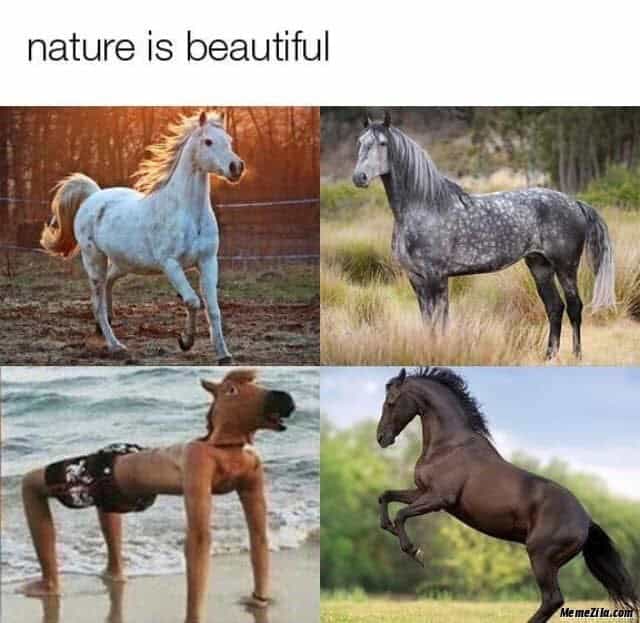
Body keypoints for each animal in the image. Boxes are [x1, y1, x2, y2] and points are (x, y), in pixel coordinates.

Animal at [40, 110, 245, 363]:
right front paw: (185, 341)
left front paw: (224, 354)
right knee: (97, 301)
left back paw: (104, 325)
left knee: (108, 284)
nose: (236, 167)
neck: (187, 212)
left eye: (229, 140)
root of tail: (93, 196)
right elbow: (192, 301)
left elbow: (213, 309)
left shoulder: (207, 261)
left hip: (124, 263)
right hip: (95, 260)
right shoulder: (170, 264)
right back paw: (115, 345)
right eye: (208, 141)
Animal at [352, 112, 616, 359]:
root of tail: (575, 203)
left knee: (574, 306)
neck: (425, 207)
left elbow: (439, 322)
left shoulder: (435, 277)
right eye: (361, 142)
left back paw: (576, 355)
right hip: (539, 265)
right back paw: (549, 356)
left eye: (383, 143)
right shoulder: (416, 278)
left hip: (565, 266)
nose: (359, 178)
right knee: (555, 307)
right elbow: (429, 323)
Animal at [376, 367, 639, 623]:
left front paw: (415, 552)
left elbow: (401, 514)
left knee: (552, 599)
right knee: (552, 601)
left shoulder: (439, 498)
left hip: (541, 557)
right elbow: (385, 497)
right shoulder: (422, 492)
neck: (449, 447)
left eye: (390, 402)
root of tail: (586, 521)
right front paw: (389, 528)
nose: (381, 438)